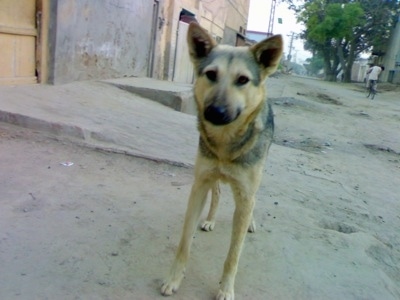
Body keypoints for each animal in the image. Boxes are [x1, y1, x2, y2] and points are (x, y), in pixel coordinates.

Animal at [161, 22, 282, 298]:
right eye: (211, 74)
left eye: (243, 80)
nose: (215, 112)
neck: (225, 142)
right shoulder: (199, 185)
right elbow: (184, 243)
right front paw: (174, 278)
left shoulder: (246, 193)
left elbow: (233, 256)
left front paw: (226, 289)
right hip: (212, 176)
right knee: (216, 194)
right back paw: (210, 219)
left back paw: (250, 222)